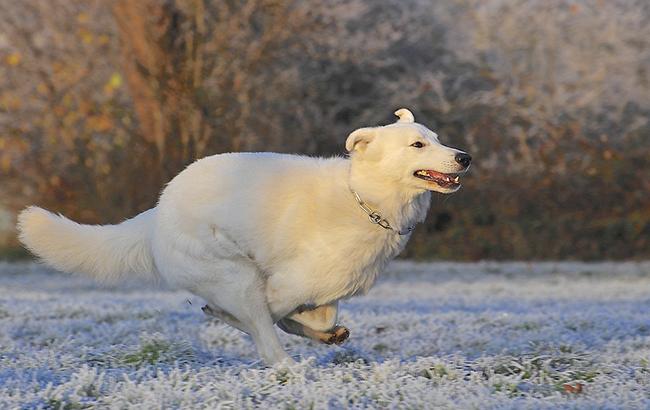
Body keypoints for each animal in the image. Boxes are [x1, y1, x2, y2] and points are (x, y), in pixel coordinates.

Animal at [16, 108, 470, 366]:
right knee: (265, 341)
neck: (364, 198)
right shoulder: (282, 284)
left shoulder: (324, 289)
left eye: (438, 139)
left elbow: (316, 315)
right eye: (417, 144)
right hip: (237, 276)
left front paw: (324, 332)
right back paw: (287, 366)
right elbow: (271, 317)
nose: (465, 157)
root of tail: (158, 212)